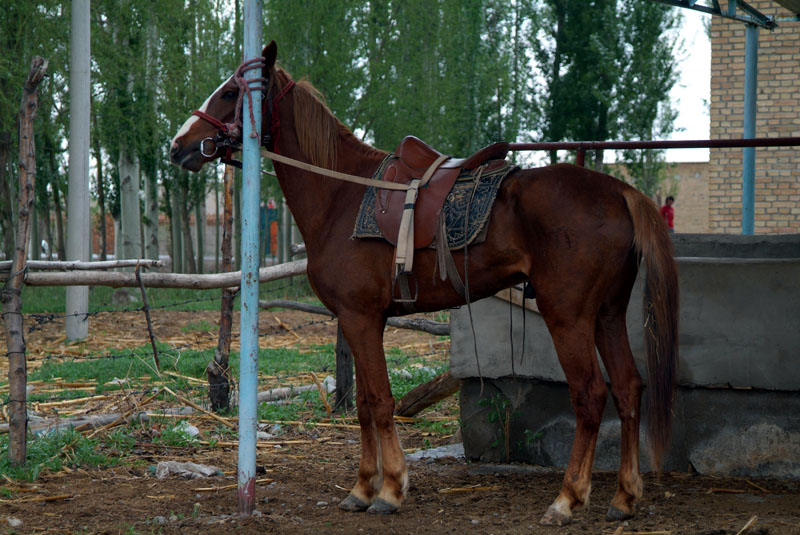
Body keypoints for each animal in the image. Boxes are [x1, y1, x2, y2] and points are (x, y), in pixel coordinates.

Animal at [167, 43, 676, 528]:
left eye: (230, 93)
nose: (177, 146)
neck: (342, 195)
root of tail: (619, 191)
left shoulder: (360, 318)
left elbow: (379, 401)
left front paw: (389, 489)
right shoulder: (360, 321)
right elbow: (364, 404)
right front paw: (363, 488)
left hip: (568, 316)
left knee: (591, 396)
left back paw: (567, 500)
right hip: (607, 315)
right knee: (628, 389)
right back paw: (624, 497)